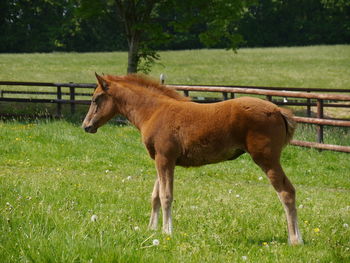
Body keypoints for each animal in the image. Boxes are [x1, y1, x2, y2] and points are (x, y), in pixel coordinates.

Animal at [83, 73, 302, 245]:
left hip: (267, 159)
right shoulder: (160, 160)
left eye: (96, 98)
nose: (86, 126)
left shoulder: (165, 159)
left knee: (286, 192)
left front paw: (167, 232)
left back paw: (295, 239)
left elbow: (166, 196)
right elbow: (155, 196)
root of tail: (278, 111)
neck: (154, 112)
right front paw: (151, 229)